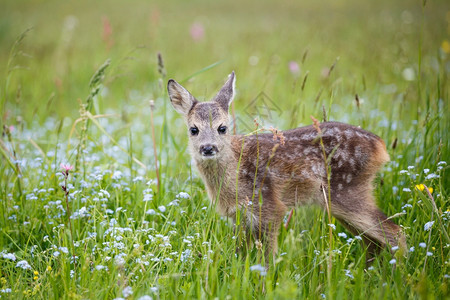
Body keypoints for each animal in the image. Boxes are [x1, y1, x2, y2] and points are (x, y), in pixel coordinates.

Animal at [167, 71, 406, 264]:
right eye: (194, 129)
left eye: (222, 128)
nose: (208, 148)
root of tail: (381, 146)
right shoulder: (239, 216)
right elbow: (240, 254)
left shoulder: (270, 206)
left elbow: (267, 258)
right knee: (373, 242)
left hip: (347, 191)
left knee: (396, 234)